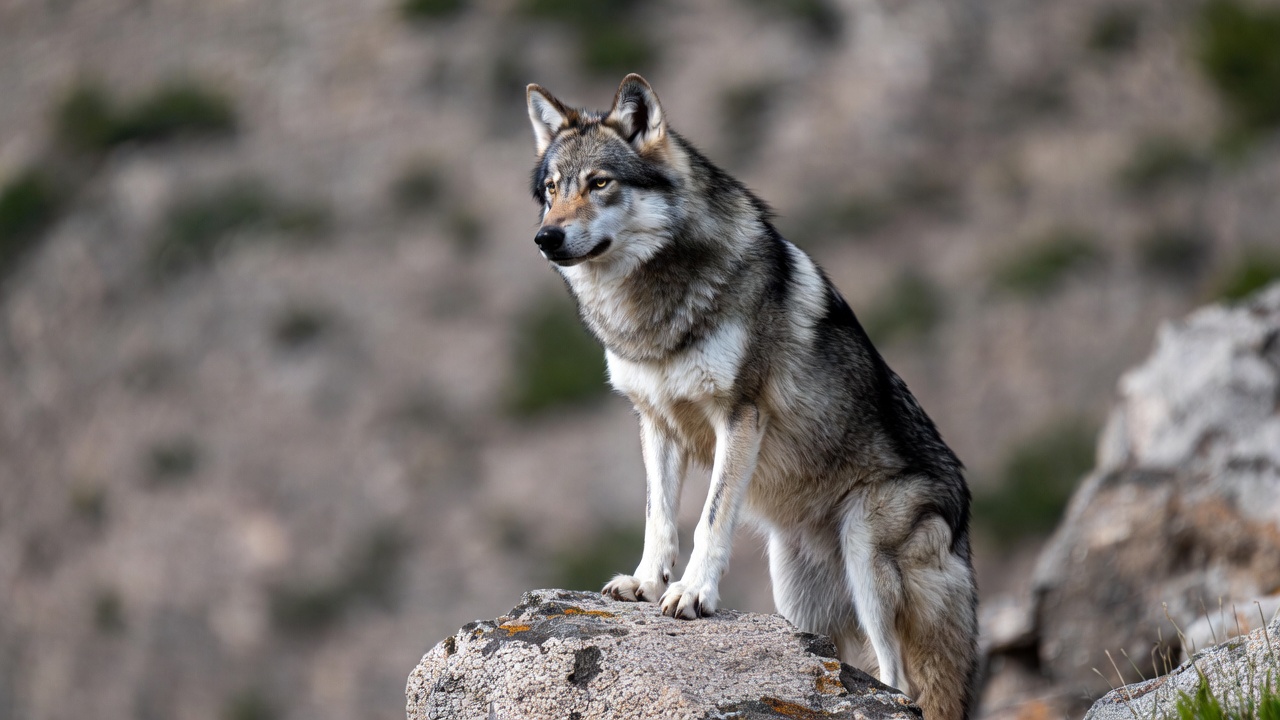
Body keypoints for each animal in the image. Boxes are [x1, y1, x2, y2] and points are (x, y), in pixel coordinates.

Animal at [524, 74, 980, 720]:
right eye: (551, 190)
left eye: (599, 183)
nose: (546, 237)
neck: (653, 313)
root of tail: (964, 523)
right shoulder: (654, 421)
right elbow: (658, 516)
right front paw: (645, 583)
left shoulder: (738, 416)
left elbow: (711, 519)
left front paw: (691, 593)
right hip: (795, 593)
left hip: (866, 551)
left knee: (902, 682)